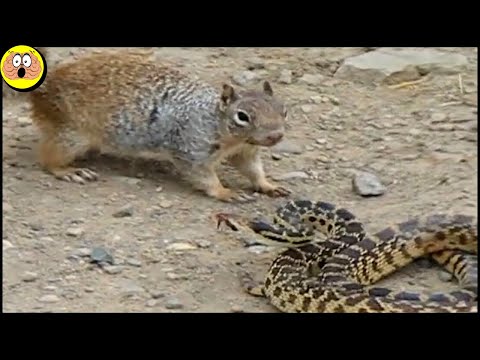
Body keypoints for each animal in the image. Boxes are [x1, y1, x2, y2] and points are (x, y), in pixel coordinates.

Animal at [26, 48, 290, 202]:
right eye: (242, 116)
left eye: (283, 110)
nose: (276, 136)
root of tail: (46, 87)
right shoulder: (191, 148)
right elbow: (203, 175)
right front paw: (226, 192)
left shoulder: (245, 151)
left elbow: (253, 170)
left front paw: (268, 185)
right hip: (72, 134)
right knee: (49, 156)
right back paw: (69, 171)